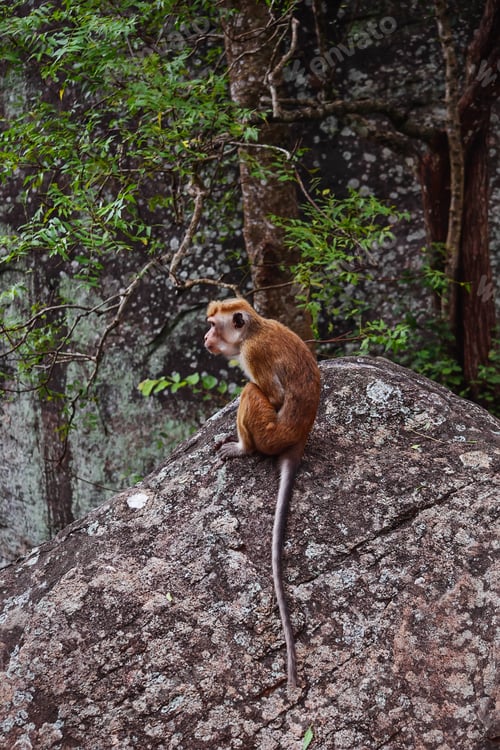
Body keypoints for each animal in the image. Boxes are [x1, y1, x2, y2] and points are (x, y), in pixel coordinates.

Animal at [204, 298, 321, 691]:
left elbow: (271, 395)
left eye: (214, 325)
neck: (253, 331)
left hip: (269, 434)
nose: (205, 337)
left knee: (250, 393)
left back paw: (243, 448)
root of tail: (297, 443)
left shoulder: (253, 354)